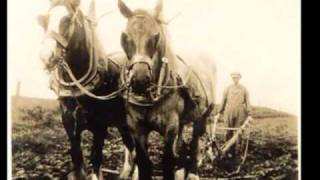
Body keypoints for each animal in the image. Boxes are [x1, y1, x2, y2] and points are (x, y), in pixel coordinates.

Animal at [37, 0, 135, 179]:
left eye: (67, 20)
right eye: (45, 21)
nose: (45, 56)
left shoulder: (101, 125)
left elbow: (96, 157)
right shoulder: (69, 121)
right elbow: (77, 156)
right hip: (121, 122)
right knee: (129, 145)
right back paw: (125, 172)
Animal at [119, 0, 216, 179]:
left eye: (156, 37)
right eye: (125, 38)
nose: (139, 80)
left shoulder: (170, 127)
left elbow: (167, 161)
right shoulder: (136, 128)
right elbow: (144, 163)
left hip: (202, 116)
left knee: (195, 143)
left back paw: (193, 172)